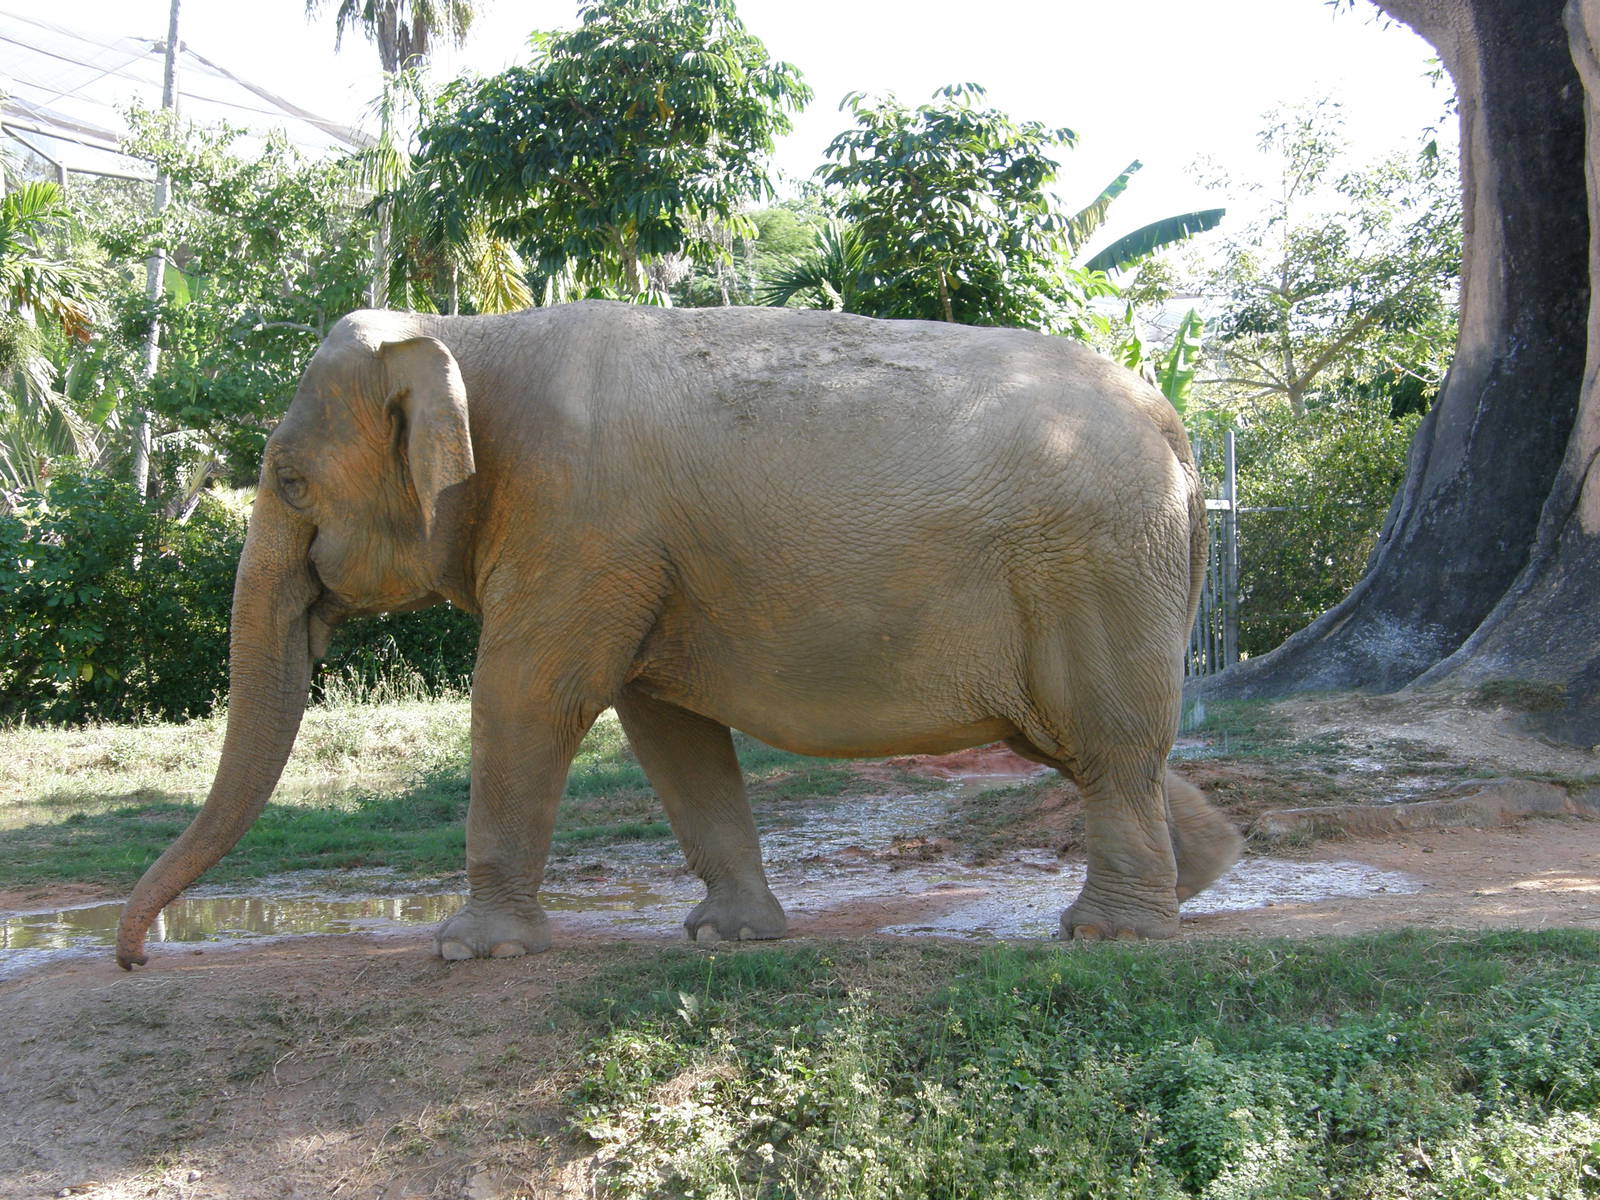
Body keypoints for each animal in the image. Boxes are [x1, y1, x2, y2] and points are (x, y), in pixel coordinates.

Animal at [115, 301, 1242, 969]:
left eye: (290, 481)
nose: (137, 956)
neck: (465, 336)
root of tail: (1175, 422)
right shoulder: (631, 556)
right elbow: (665, 727)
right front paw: (729, 938)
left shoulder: (580, 524)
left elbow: (526, 696)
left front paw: (467, 950)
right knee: (1090, 748)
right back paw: (1203, 874)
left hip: (1093, 565)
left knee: (1103, 742)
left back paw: (1111, 933)